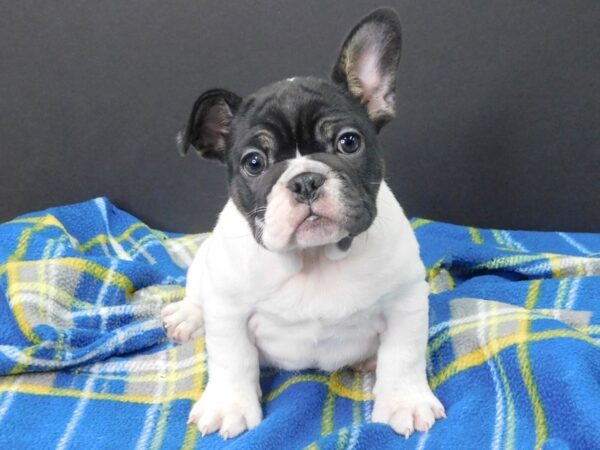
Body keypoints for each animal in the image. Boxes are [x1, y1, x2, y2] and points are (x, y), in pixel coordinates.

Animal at [162, 7, 442, 440]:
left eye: (348, 142)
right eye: (254, 162)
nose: (306, 180)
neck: (315, 258)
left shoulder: (406, 301)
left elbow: (403, 356)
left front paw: (404, 402)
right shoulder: (228, 310)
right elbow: (231, 359)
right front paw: (229, 405)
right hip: (204, 266)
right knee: (197, 295)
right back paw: (187, 317)